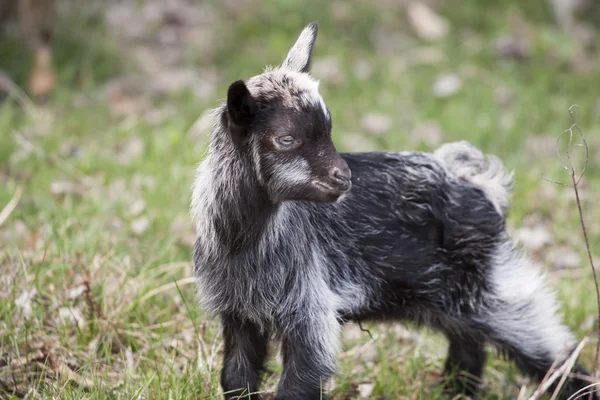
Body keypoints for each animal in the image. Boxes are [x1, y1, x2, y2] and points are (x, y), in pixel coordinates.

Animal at [191, 23, 596, 400]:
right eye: (287, 138)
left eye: (328, 129)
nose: (344, 177)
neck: (244, 240)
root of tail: (475, 181)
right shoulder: (239, 314)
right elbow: (235, 377)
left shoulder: (309, 312)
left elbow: (298, 381)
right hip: (445, 299)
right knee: (469, 342)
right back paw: (454, 390)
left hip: (492, 290)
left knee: (551, 347)